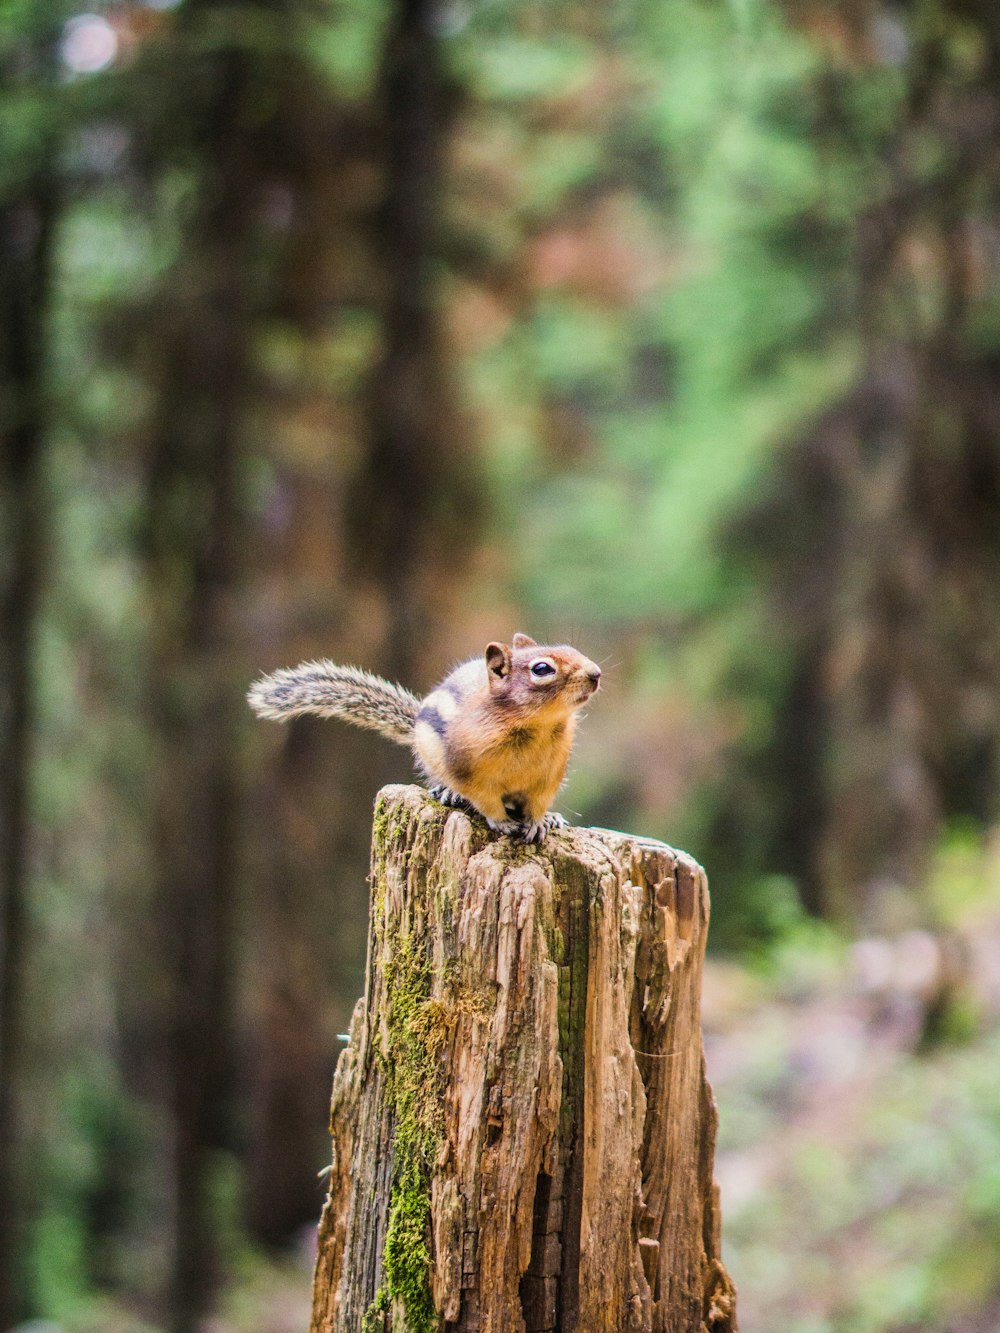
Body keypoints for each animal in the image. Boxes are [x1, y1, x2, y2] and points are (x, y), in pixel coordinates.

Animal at [249, 634, 602, 842]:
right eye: (542, 669)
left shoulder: (548, 778)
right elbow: (484, 798)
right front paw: (500, 821)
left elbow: (538, 802)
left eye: (573, 650)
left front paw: (539, 821)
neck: (535, 727)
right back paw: (448, 793)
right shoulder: (468, 769)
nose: (596, 673)